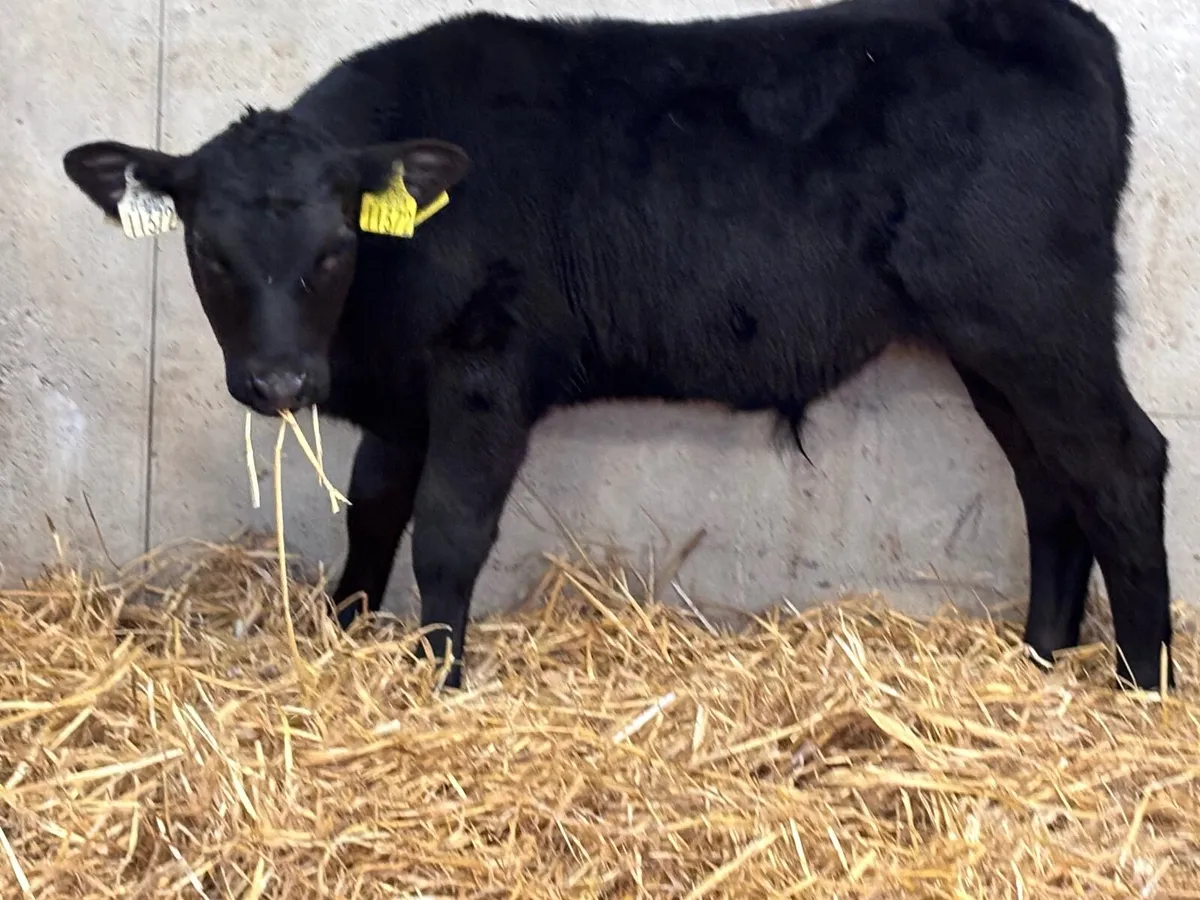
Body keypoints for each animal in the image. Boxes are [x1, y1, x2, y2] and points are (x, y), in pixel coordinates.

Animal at [62, 0, 1174, 692]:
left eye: (337, 245)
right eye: (207, 251)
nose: (280, 380)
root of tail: (1062, 22)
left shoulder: (484, 372)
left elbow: (448, 531)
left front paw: (436, 679)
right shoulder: (403, 396)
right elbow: (372, 513)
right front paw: (344, 637)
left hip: (1035, 310)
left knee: (1122, 461)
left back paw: (1142, 680)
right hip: (994, 343)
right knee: (1049, 479)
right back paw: (1041, 660)